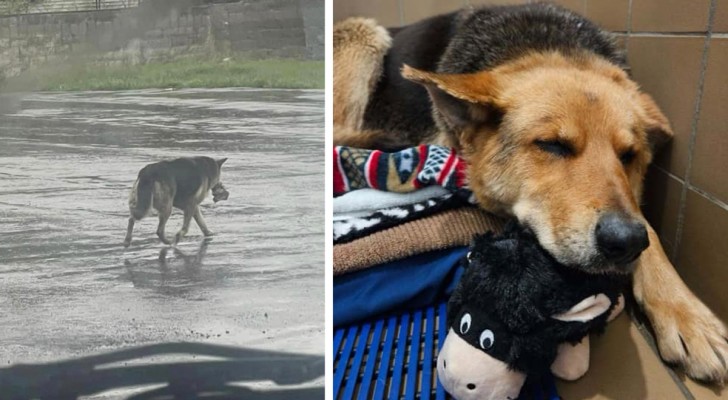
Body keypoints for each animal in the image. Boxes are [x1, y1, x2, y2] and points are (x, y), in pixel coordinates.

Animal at [334, 3, 728, 384]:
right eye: (552, 145)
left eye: (629, 156)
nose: (627, 242)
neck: (550, 43)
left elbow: (650, 231)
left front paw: (686, 313)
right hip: (363, 33)